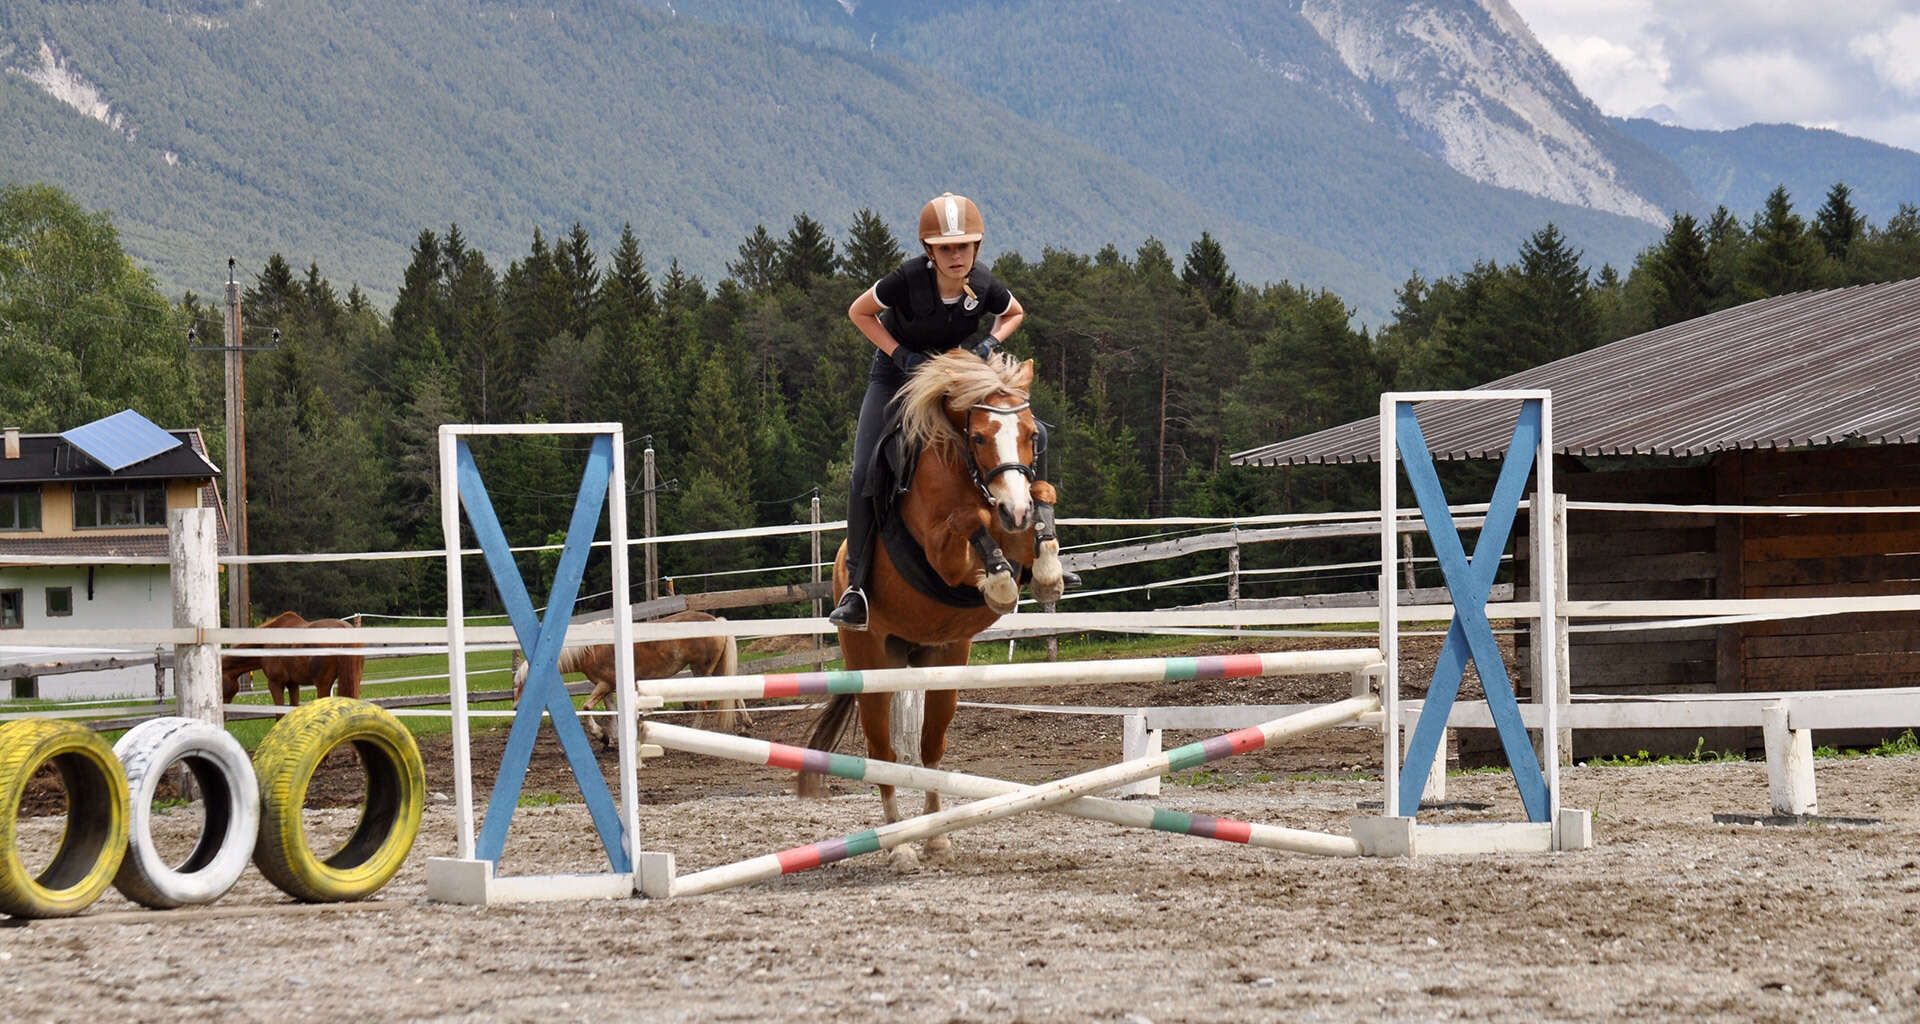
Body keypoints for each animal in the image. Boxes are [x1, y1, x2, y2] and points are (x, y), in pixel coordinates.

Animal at [510, 607, 748, 741]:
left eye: (522, 683)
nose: (515, 708)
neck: (590, 648)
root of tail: (715, 621)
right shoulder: (606, 687)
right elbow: (611, 711)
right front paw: (611, 738)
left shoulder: (605, 684)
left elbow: (587, 708)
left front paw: (601, 736)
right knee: (735, 692)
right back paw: (746, 724)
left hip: (703, 671)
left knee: (704, 703)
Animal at [794, 353, 1067, 872]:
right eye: (978, 437)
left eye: (1030, 433)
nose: (1015, 512)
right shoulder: (943, 554)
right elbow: (970, 522)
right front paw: (998, 584)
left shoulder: (1018, 521)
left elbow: (1043, 493)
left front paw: (1047, 573)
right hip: (872, 663)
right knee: (882, 753)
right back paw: (898, 846)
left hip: (941, 659)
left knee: (929, 748)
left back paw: (935, 838)